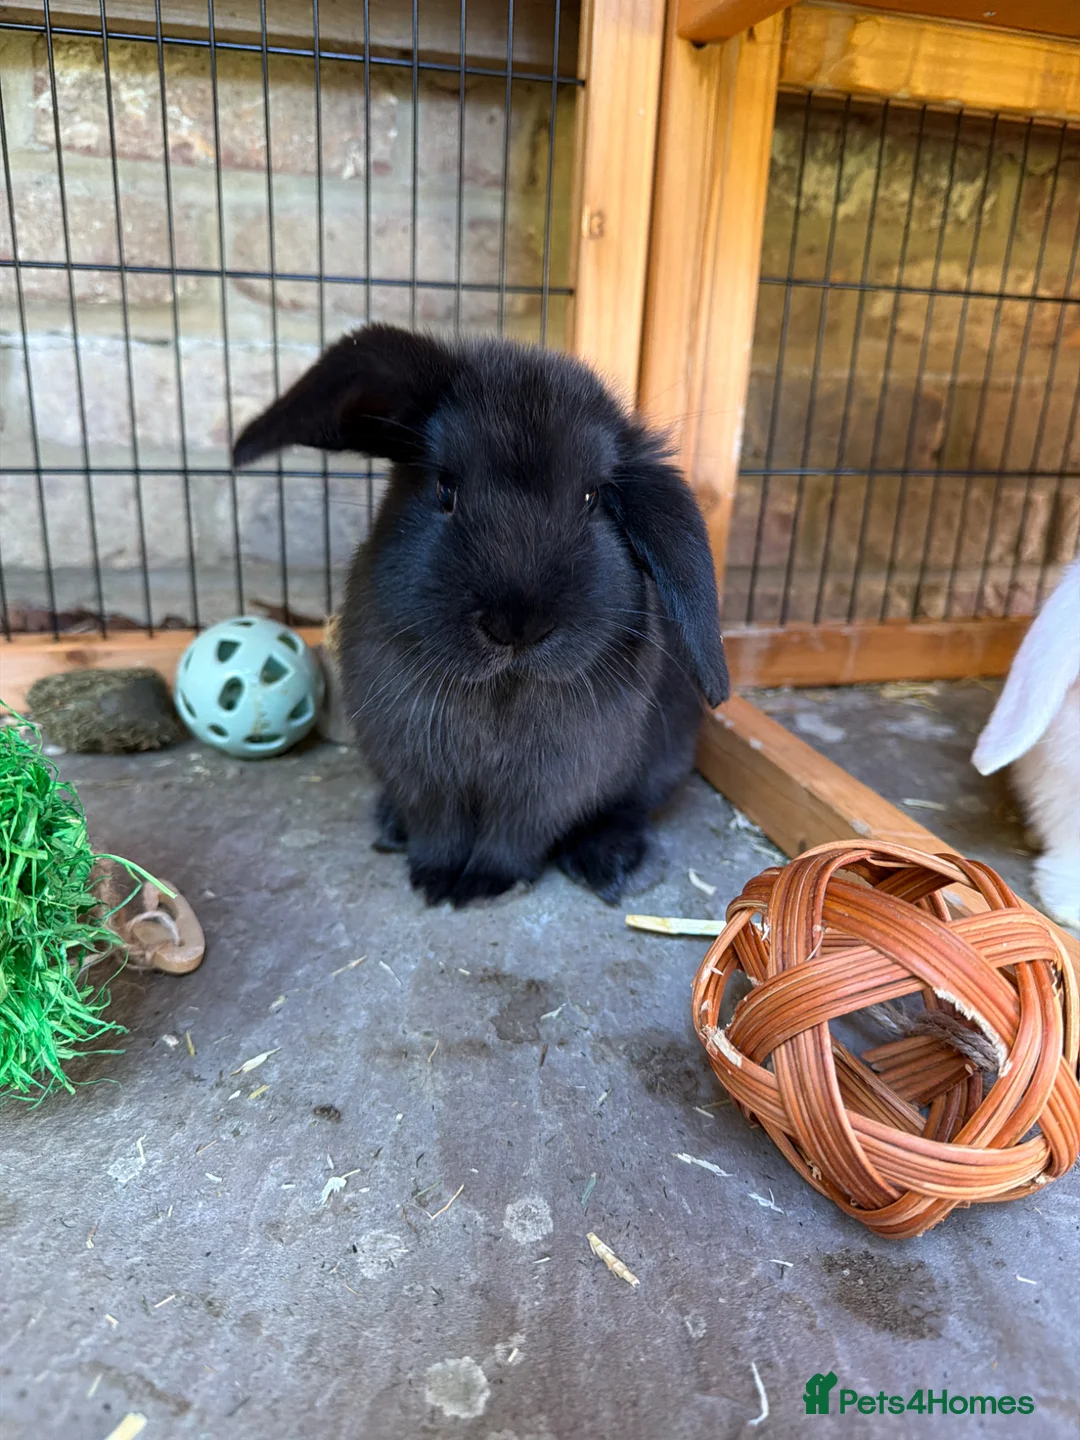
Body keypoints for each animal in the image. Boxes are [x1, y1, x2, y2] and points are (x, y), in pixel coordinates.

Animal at [233, 324, 729, 907]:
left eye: (592, 498)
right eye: (445, 489)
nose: (518, 625)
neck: (500, 691)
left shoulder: (550, 785)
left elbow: (514, 835)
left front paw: (484, 883)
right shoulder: (418, 771)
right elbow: (438, 828)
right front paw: (434, 879)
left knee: (629, 809)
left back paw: (607, 863)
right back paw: (391, 829)